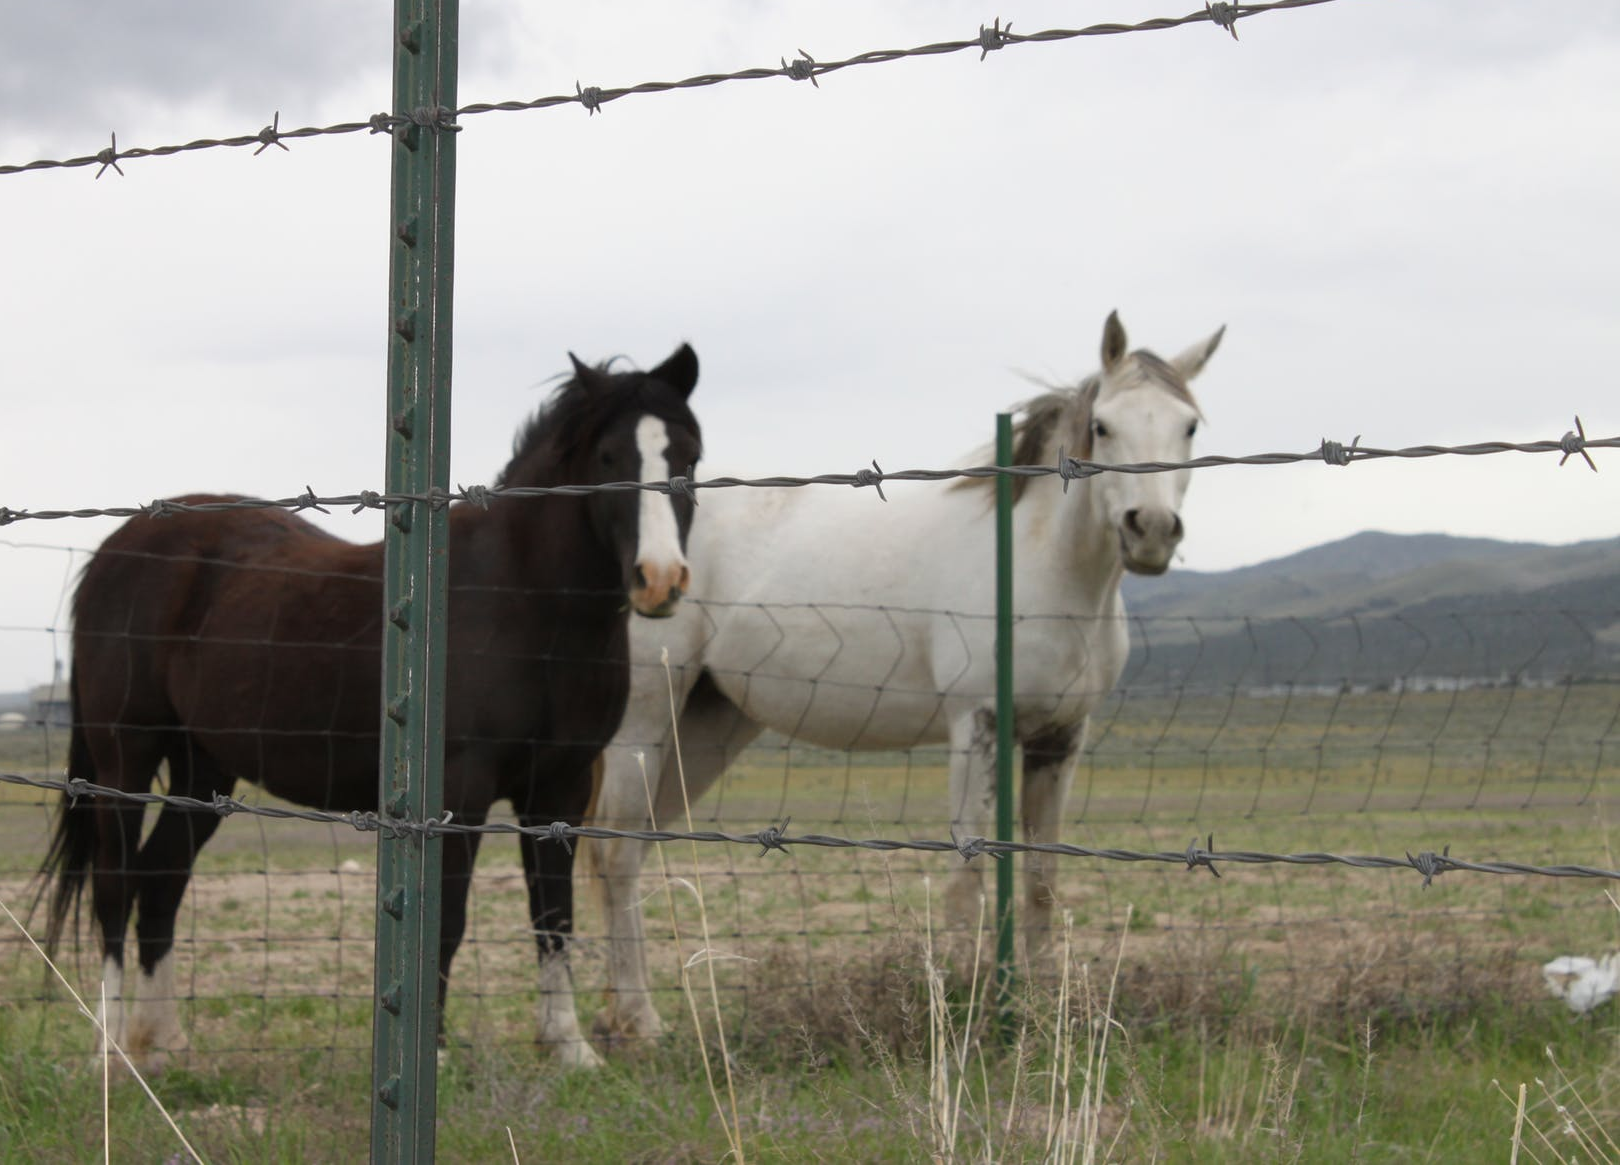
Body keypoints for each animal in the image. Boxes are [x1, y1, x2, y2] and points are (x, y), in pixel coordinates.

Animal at [42, 341, 703, 1069]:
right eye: (609, 458)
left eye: (689, 455)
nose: (659, 580)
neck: (525, 602)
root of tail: (116, 550)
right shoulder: (461, 789)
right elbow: (447, 920)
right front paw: (433, 1056)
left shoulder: (559, 787)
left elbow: (552, 914)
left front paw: (568, 1045)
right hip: (125, 755)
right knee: (115, 884)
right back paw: (109, 1051)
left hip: (204, 767)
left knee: (159, 881)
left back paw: (161, 1043)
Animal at [589, 314, 1218, 1043]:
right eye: (1104, 426)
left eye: (1189, 425)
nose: (1151, 531)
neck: (1043, 566)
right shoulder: (977, 724)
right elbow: (967, 876)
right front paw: (960, 1008)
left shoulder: (1060, 738)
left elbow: (1041, 878)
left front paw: (1038, 1007)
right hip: (644, 719)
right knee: (617, 854)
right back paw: (641, 1020)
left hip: (705, 724)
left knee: (630, 846)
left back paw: (617, 1012)